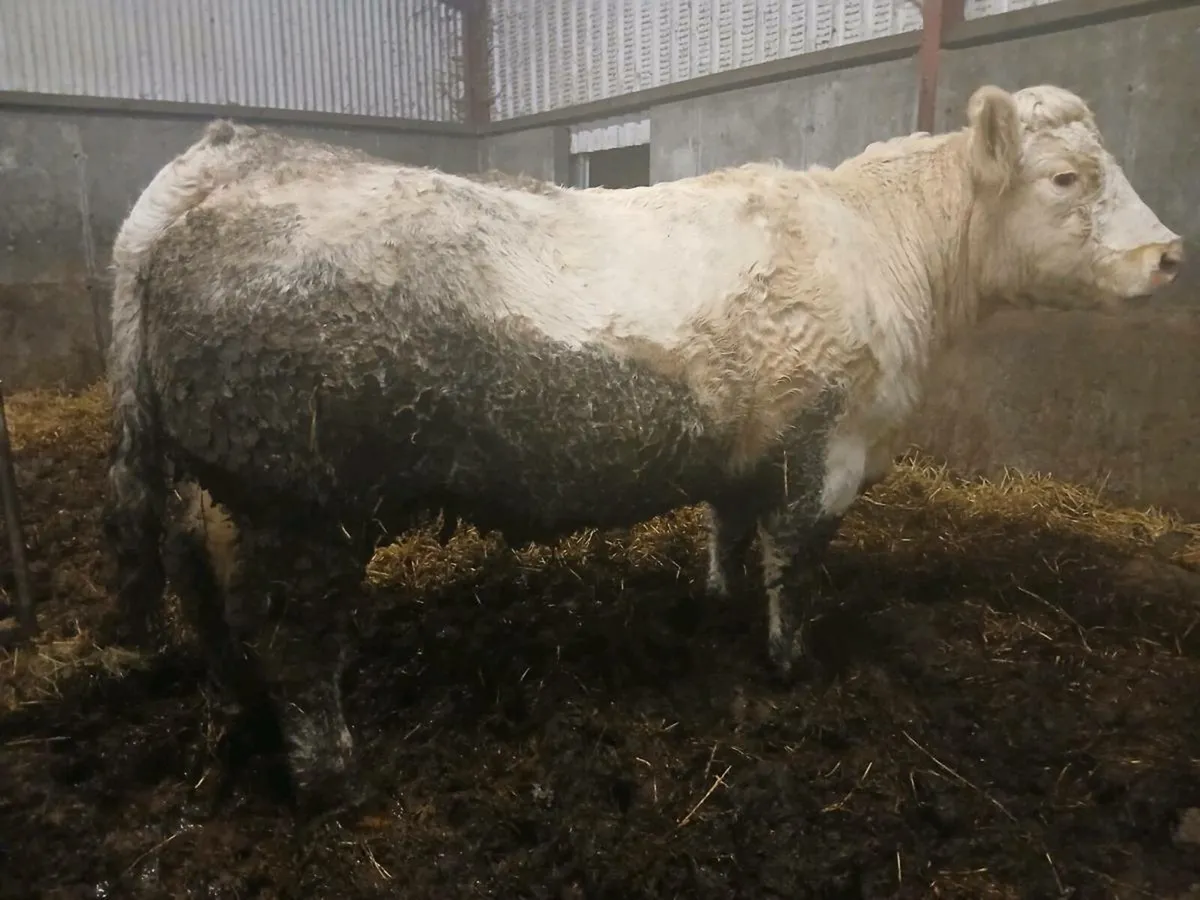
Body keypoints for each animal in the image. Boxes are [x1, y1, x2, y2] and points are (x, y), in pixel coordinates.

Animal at [105, 83, 1183, 813]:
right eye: (1067, 178)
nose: (1170, 254)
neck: (881, 244)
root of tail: (227, 158)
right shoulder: (827, 445)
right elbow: (794, 561)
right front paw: (788, 664)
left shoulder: (744, 447)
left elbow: (729, 532)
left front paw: (716, 605)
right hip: (303, 504)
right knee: (293, 637)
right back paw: (329, 774)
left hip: (218, 489)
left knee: (205, 593)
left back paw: (238, 722)